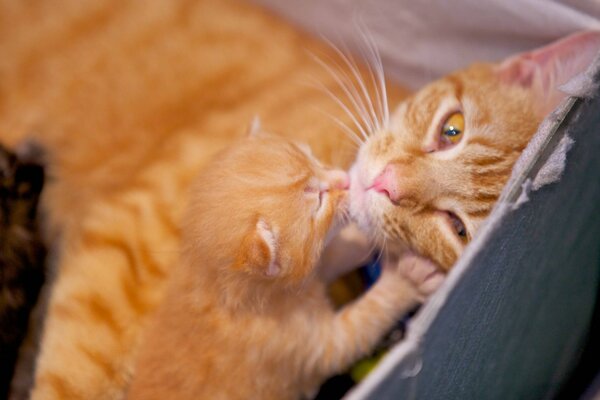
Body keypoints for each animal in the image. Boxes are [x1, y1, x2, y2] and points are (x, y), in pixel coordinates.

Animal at [126, 135, 440, 400]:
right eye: (318, 199)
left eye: (314, 158)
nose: (345, 179)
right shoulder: (308, 345)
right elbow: (367, 317)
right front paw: (407, 280)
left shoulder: (309, 275)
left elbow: (329, 257)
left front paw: (367, 231)